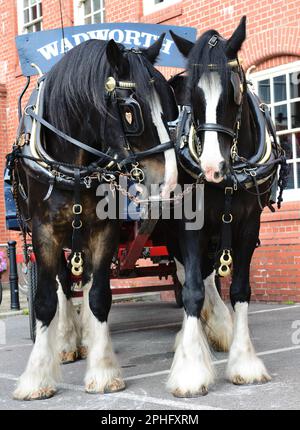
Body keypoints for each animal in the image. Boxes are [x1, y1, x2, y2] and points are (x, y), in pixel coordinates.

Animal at [12, 35, 178, 402]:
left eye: (172, 107)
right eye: (130, 112)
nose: (170, 181)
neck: (74, 165)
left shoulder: (104, 230)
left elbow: (99, 295)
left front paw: (103, 372)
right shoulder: (44, 232)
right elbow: (46, 300)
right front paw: (36, 378)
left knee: (85, 281)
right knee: (61, 283)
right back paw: (65, 342)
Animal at [166, 17, 282, 396]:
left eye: (234, 91)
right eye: (192, 95)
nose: (211, 168)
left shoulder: (248, 225)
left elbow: (240, 289)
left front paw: (244, 361)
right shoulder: (189, 225)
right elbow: (190, 291)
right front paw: (190, 369)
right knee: (188, 276)